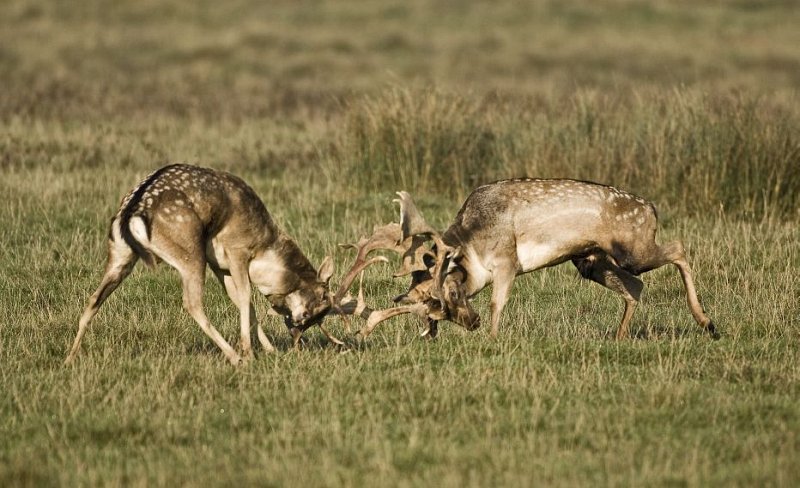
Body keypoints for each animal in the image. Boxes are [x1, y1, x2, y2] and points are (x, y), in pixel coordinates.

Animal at [65, 164, 349, 366]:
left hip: (120, 255)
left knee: (94, 298)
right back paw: (235, 357)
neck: (264, 249)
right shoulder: (236, 250)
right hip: (191, 252)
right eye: (323, 298)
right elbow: (246, 297)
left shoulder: (220, 266)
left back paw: (70, 357)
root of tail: (130, 213)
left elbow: (242, 301)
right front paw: (250, 352)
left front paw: (269, 350)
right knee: (192, 302)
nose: (299, 328)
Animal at [336, 178, 718, 341]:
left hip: (633, 249)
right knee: (636, 287)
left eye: (453, 293)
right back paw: (620, 336)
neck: (473, 243)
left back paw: (708, 323)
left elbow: (496, 303)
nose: (471, 323)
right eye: (434, 311)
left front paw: (492, 339)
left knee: (678, 248)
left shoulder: (508, 261)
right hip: (590, 261)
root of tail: (651, 208)